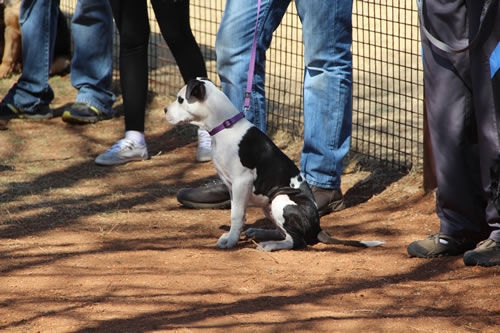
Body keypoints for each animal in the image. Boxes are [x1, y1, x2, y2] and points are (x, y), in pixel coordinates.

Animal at [164, 77, 382, 249]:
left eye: (181, 99)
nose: (165, 109)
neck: (225, 126)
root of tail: (318, 226)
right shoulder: (232, 186)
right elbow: (237, 213)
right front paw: (232, 235)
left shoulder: (242, 182)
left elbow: (236, 215)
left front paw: (231, 241)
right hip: (268, 206)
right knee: (284, 232)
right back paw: (260, 233)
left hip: (281, 198)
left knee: (297, 241)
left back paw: (270, 244)